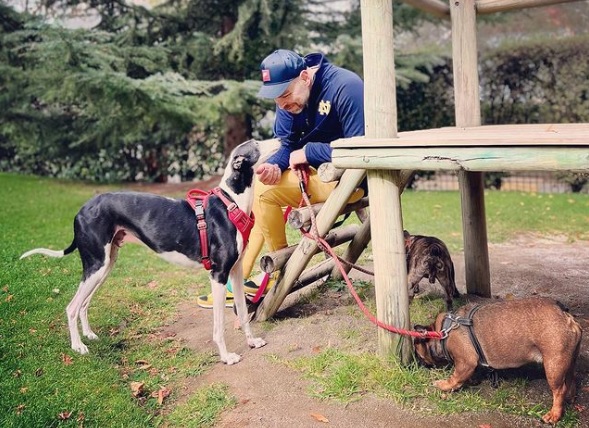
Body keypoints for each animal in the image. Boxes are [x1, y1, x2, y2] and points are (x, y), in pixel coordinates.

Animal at [20, 140, 280, 364]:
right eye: (257, 144)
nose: (280, 138)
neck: (231, 203)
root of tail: (81, 210)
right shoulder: (218, 275)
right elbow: (219, 327)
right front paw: (226, 357)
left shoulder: (235, 272)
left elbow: (243, 313)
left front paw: (252, 342)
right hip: (96, 266)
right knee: (72, 307)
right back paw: (78, 346)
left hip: (104, 265)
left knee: (84, 304)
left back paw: (89, 335)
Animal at [412, 298, 580, 424]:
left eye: (419, 355)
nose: (419, 364)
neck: (442, 331)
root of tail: (565, 315)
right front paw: (472, 380)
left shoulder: (465, 362)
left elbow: (455, 378)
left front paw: (444, 385)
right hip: (567, 361)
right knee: (571, 379)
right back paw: (569, 399)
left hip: (553, 366)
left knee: (559, 390)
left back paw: (554, 415)